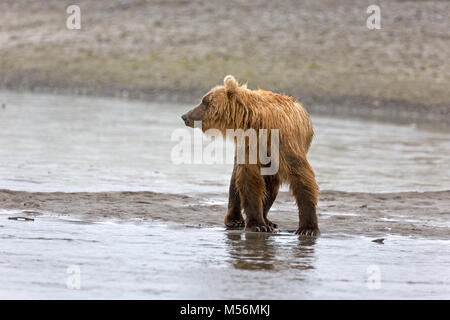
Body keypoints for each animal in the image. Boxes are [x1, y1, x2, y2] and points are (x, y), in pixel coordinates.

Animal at [181, 75, 318, 235]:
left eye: (205, 101)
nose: (185, 116)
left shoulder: (285, 144)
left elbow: (302, 177)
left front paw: (308, 228)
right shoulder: (250, 146)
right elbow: (249, 179)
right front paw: (257, 224)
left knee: (270, 185)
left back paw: (267, 220)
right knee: (236, 181)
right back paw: (235, 219)